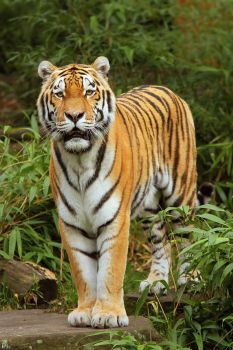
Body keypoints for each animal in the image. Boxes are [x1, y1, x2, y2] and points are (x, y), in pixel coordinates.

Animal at [36, 56, 213, 330]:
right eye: (60, 93)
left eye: (89, 92)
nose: (74, 115)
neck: (79, 160)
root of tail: (165, 88)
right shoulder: (71, 224)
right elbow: (83, 272)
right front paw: (84, 312)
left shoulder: (114, 218)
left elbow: (111, 269)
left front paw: (108, 315)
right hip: (149, 210)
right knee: (161, 242)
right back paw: (155, 283)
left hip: (180, 196)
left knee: (188, 237)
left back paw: (191, 278)